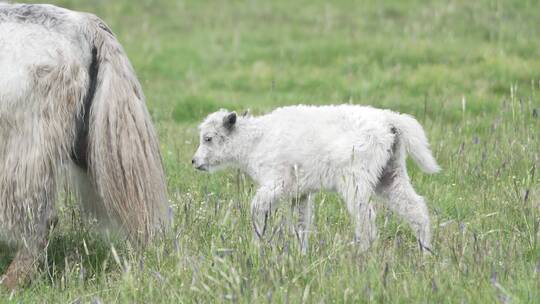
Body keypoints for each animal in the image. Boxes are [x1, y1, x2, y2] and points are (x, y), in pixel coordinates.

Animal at [193, 105, 438, 253]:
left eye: (208, 138)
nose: (195, 161)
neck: (257, 139)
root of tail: (389, 121)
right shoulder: (300, 193)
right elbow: (301, 223)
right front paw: (300, 253)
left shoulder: (278, 183)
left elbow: (257, 207)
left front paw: (257, 244)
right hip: (390, 175)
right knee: (415, 208)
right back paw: (425, 252)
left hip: (356, 181)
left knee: (366, 215)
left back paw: (363, 253)